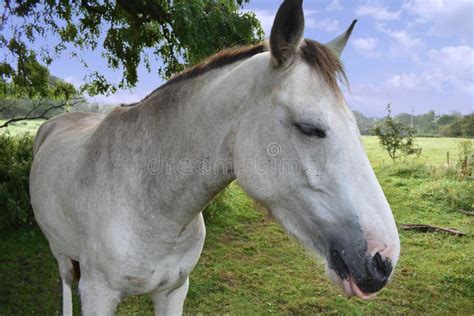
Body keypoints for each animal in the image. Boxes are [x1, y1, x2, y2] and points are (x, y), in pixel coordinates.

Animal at [29, 1, 400, 314]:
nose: (384, 260)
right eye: (309, 127)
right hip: (60, 254)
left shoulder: (173, 290)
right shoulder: (98, 294)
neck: (150, 202)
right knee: (66, 281)